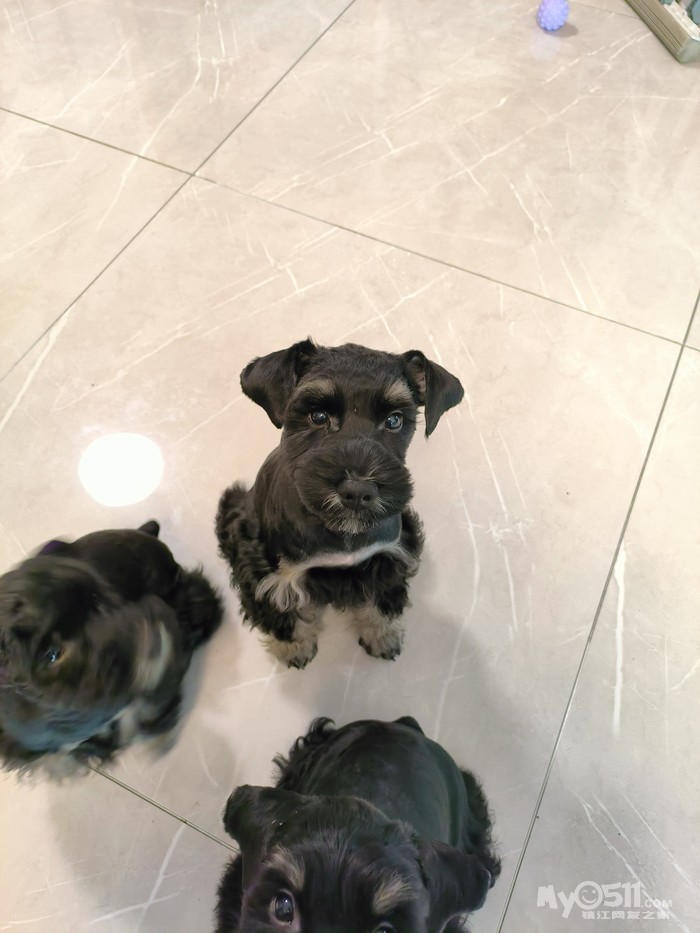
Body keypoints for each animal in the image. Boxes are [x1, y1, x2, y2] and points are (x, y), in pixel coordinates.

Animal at [215, 340, 463, 669]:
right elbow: (280, 612)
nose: (358, 492)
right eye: (318, 416)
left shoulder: (388, 555)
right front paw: (294, 647)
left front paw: (382, 636)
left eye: (394, 419)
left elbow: (383, 601)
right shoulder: (272, 572)